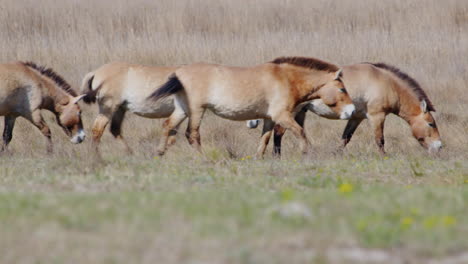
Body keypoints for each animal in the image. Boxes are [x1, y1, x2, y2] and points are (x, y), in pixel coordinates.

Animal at [149, 56, 354, 158]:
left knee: (168, 125)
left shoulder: (269, 119)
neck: (286, 79)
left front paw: (258, 158)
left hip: (183, 109)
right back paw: (204, 157)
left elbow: (265, 139)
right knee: (192, 134)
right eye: (342, 88)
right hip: (196, 110)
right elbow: (300, 132)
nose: (351, 110)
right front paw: (306, 153)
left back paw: (159, 153)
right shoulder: (281, 116)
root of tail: (179, 72)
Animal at [249, 63, 442, 156]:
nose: (439, 147)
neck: (385, 82)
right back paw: (277, 156)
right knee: (279, 133)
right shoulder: (376, 116)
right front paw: (384, 157)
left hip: (300, 113)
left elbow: (345, 138)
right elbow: (380, 140)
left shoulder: (356, 117)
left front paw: (336, 154)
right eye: (431, 124)